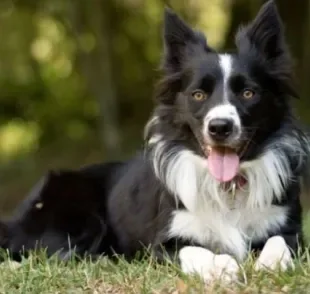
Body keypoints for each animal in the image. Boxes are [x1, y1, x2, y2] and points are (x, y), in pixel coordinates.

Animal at [0, 0, 310, 282]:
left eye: (248, 93)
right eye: (198, 94)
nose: (220, 127)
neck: (227, 188)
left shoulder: (290, 230)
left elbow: (279, 242)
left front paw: (270, 263)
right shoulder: (162, 244)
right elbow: (196, 250)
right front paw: (220, 267)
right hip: (81, 215)